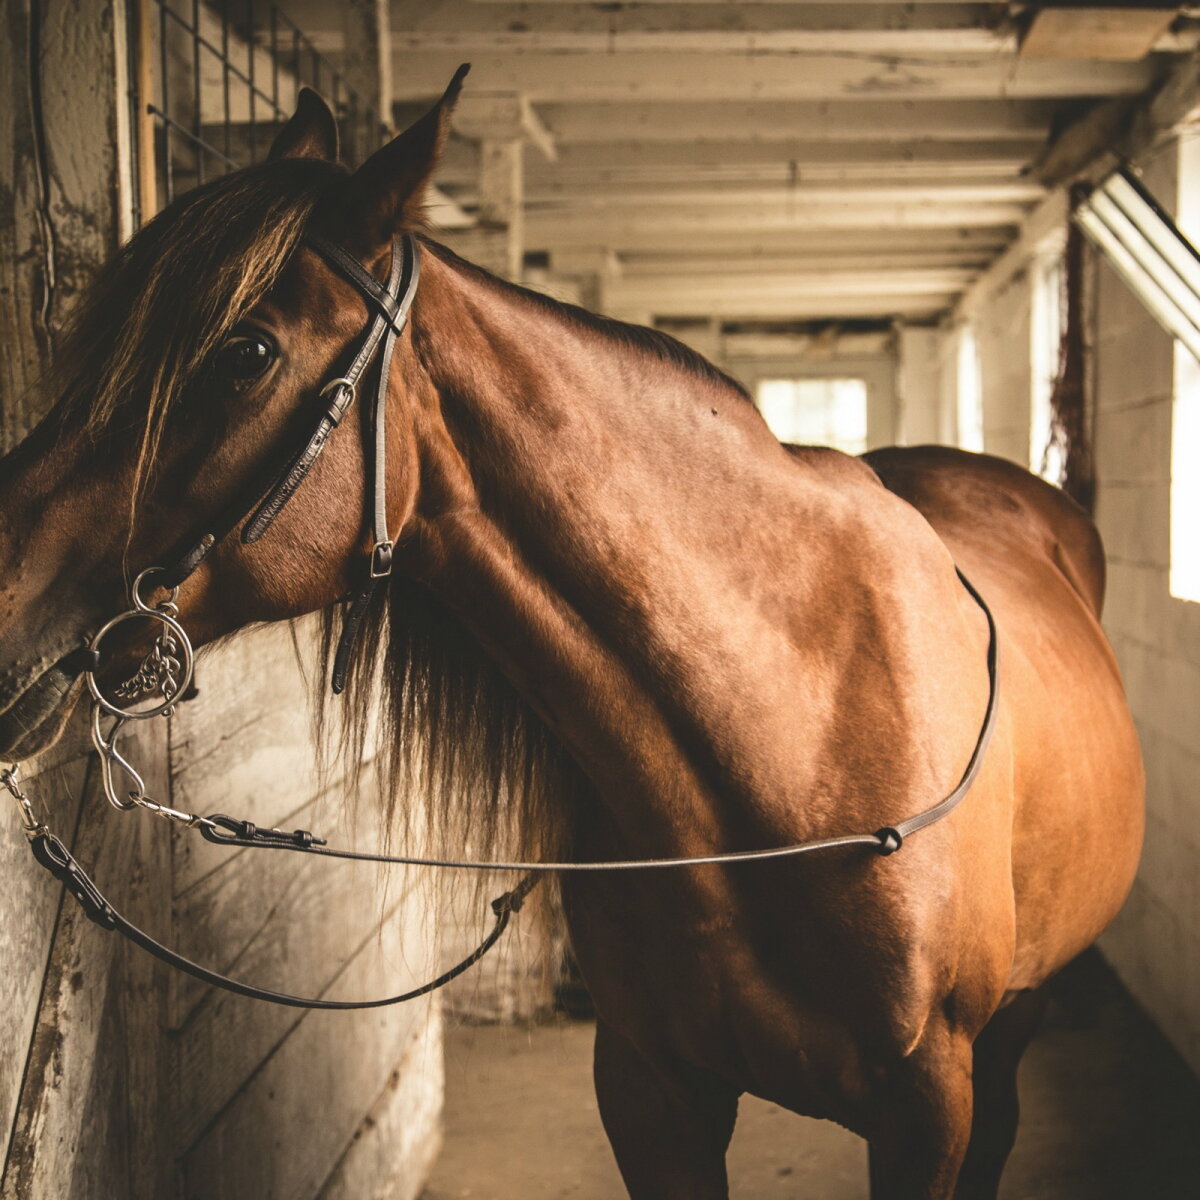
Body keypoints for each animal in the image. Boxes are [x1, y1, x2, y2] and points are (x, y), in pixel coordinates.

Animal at [0, 75, 1142, 1200]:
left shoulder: (925, 1109)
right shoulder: (650, 1093)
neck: (789, 740)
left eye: (245, 352)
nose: (3, 593)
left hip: (1013, 1026)